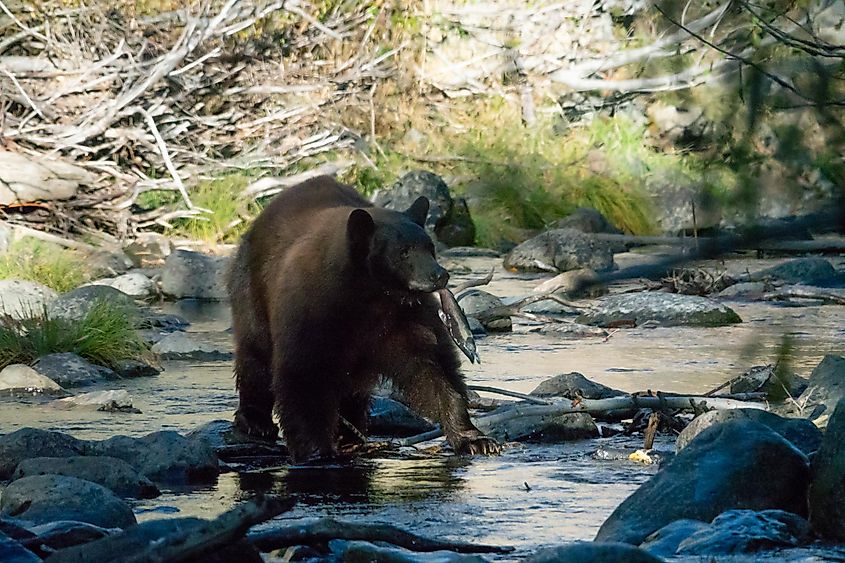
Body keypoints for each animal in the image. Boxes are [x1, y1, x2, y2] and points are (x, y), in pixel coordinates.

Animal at [228, 175, 499, 463]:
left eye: (430, 247)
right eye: (403, 251)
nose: (440, 275)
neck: (368, 294)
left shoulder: (405, 318)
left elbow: (433, 369)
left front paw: (475, 439)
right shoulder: (310, 311)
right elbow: (303, 374)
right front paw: (315, 450)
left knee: (352, 387)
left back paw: (352, 431)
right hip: (252, 291)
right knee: (256, 355)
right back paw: (255, 420)